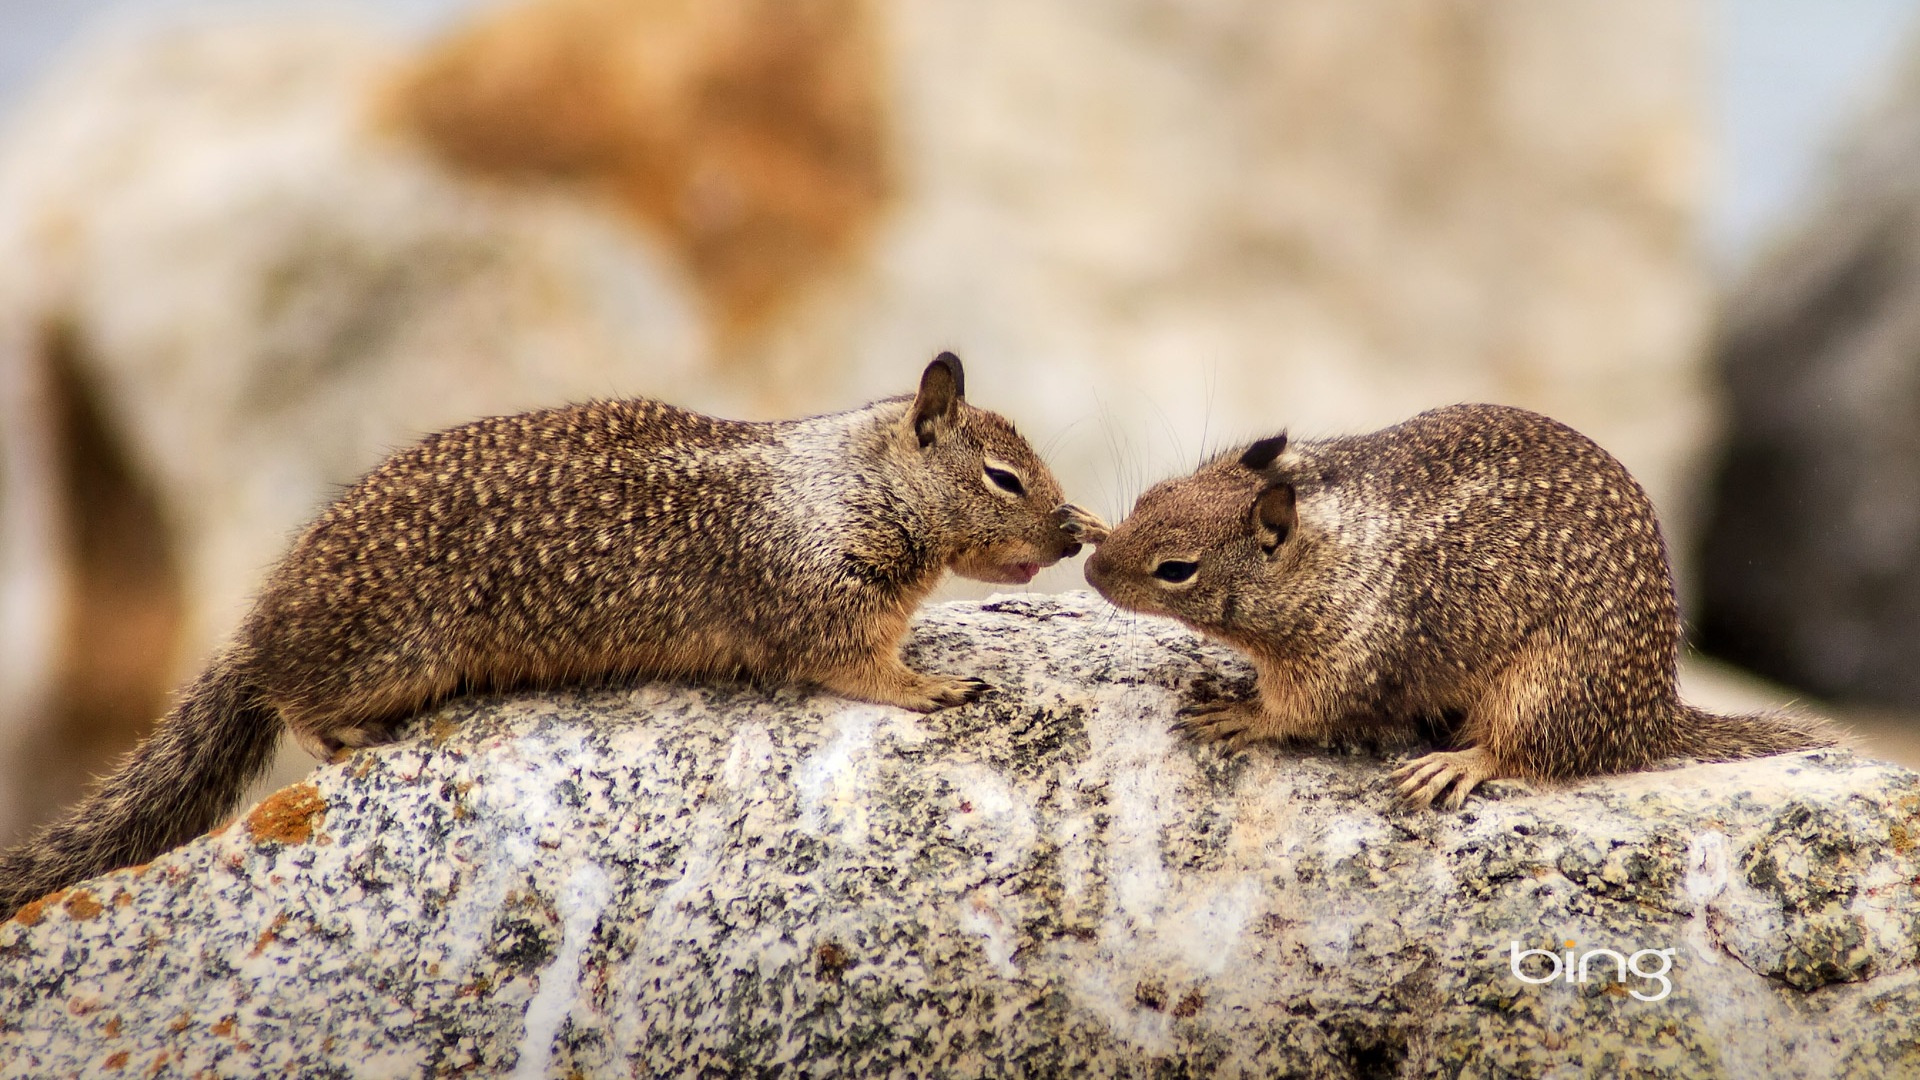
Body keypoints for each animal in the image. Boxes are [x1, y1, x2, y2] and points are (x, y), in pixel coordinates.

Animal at [0, 355, 1098, 914]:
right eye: (1003, 478)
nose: (1069, 530)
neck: (847, 483)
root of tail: (262, 616)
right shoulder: (819, 600)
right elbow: (858, 668)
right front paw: (933, 687)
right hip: (390, 654)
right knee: (296, 699)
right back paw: (348, 734)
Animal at [1090, 403, 1835, 807]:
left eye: (1176, 570)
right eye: (1152, 494)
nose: (1094, 571)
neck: (1332, 556)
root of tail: (1655, 719)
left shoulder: (1347, 660)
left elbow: (1296, 712)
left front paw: (1238, 714)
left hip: (1545, 689)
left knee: (1527, 756)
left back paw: (1454, 764)